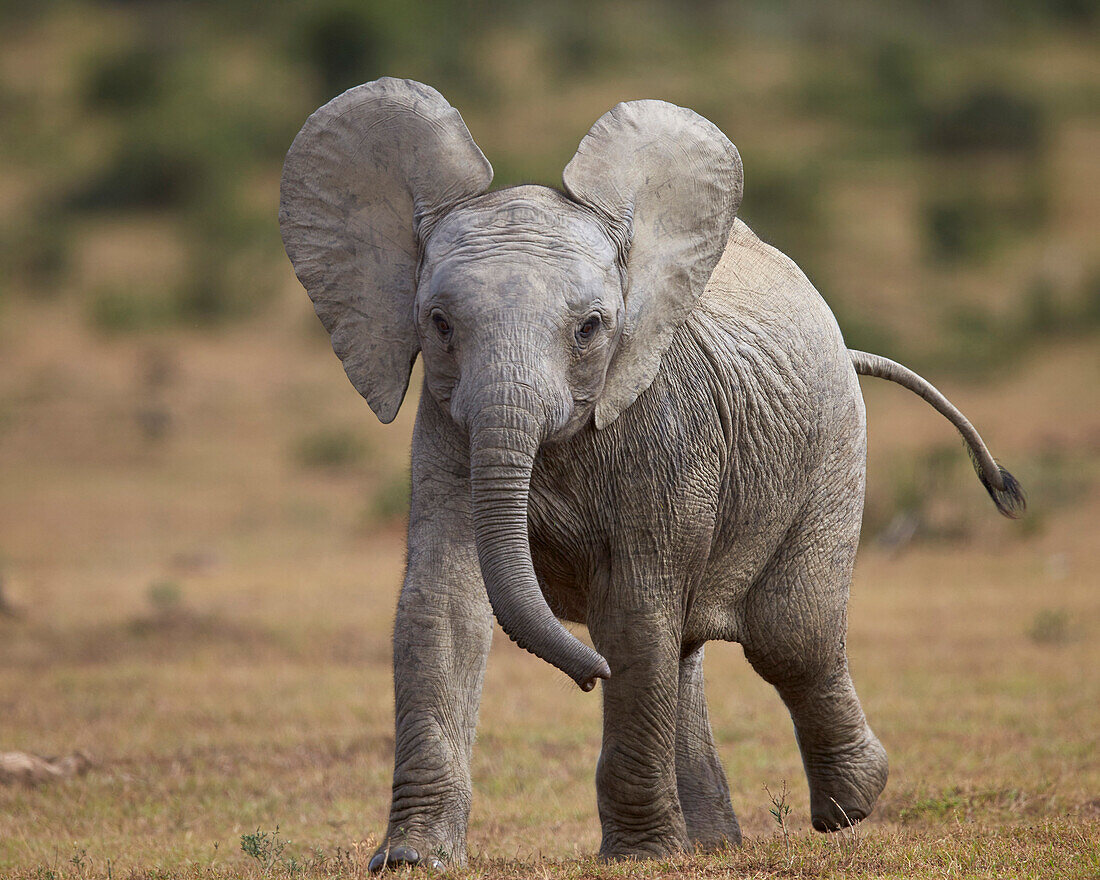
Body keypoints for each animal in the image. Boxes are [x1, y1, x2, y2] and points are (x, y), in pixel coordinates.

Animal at [277, 73, 1020, 866]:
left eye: (591, 328)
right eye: (439, 325)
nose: (585, 674)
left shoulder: (664, 431)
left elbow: (634, 614)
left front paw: (636, 857)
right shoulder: (446, 429)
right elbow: (442, 606)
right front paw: (413, 861)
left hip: (835, 447)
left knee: (788, 636)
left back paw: (849, 803)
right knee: (690, 647)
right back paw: (716, 844)